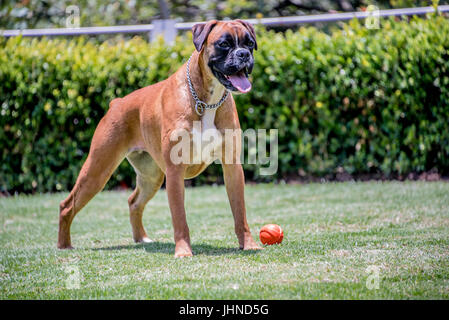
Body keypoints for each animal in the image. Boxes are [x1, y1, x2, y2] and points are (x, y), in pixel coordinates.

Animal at [57, 18, 260, 256]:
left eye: (249, 43)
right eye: (224, 44)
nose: (243, 54)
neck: (206, 99)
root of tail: (116, 102)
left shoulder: (232, 168)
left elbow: (240, 213)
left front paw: (248, 244)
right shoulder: (175, 172)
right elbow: (180, 218)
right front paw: (183, 251)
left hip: (151, 176)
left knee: (134, 202)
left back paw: (141, 238)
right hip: (98, 170)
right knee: (67, 205)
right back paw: (64, 245)